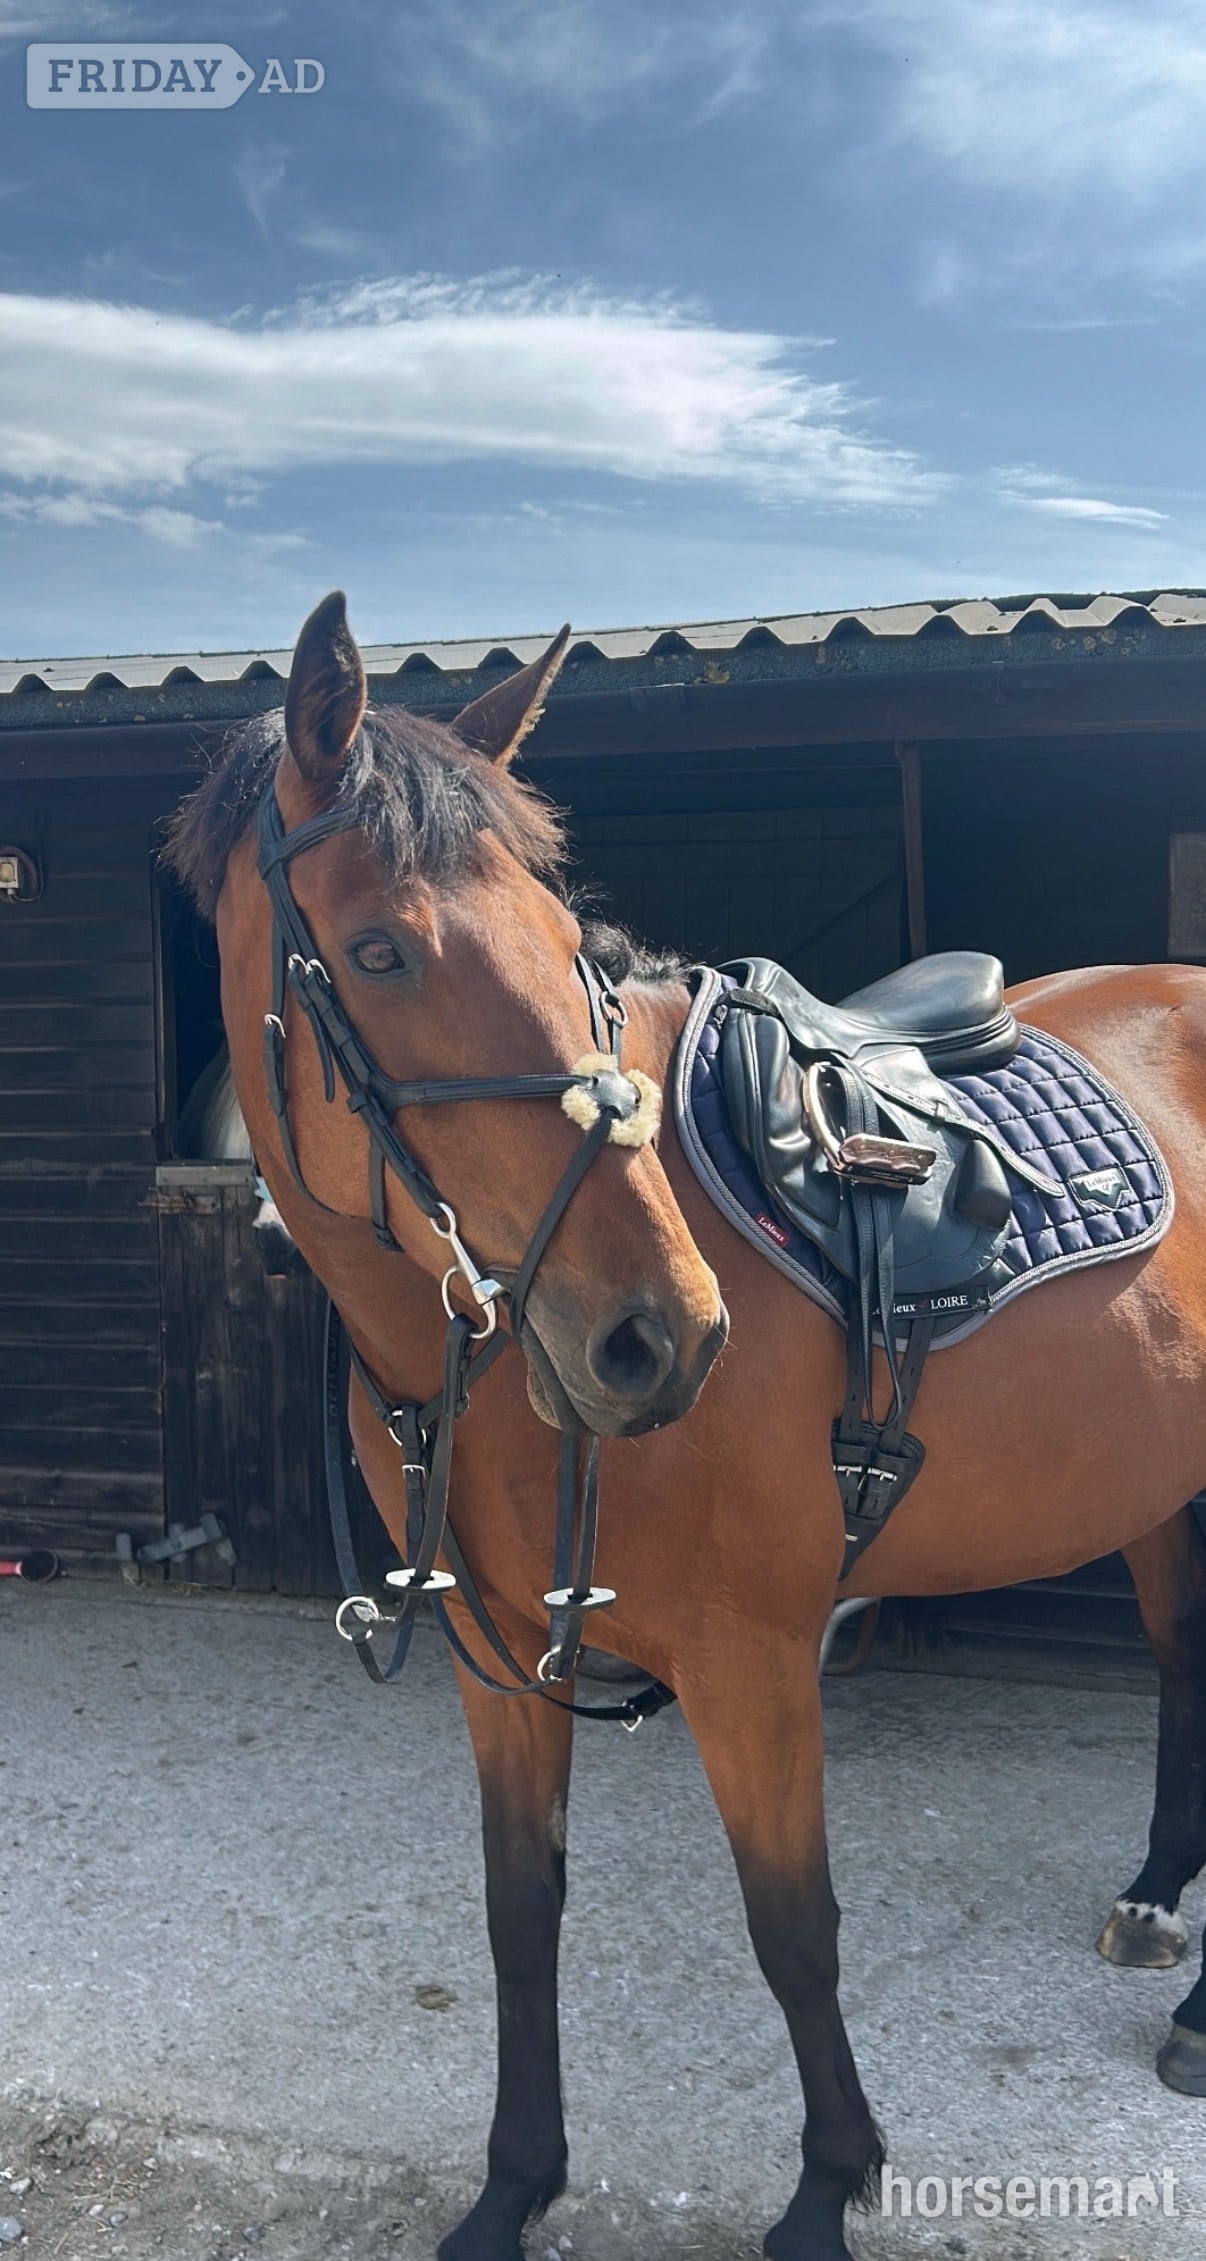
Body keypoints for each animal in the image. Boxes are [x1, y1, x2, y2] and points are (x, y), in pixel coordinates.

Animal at [166, 590, 1206, 2261]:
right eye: (379, 950)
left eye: (573, 951)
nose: (661, 1333)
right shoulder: (499, 1664)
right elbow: (519, 1911)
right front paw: (510, 2187)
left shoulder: (753, 1658)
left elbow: (791, 1928)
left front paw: (827, 2186)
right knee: (1176, 1647)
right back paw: (1159, 1889)